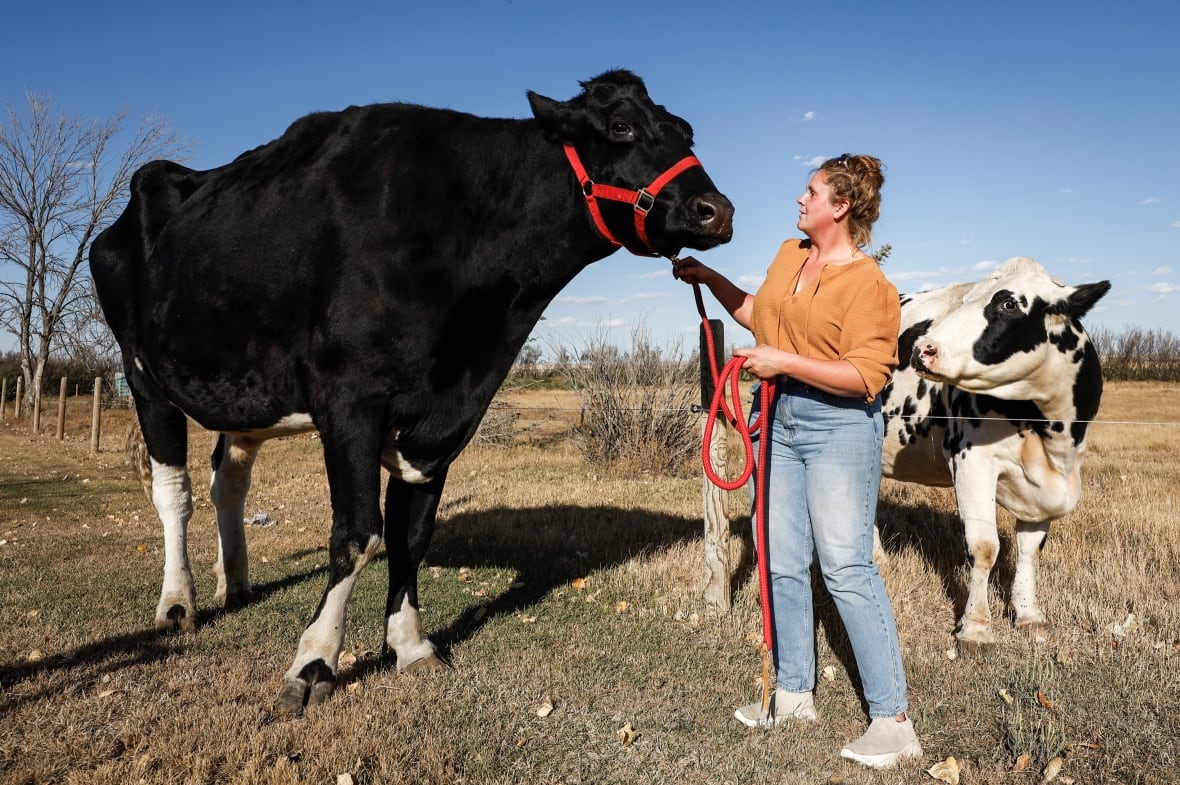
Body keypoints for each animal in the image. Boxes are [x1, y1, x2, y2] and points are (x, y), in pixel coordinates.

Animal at [89, 70, 733, 715]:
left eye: (685, 131)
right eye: (621, 127)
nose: (717, 211)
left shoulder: (442, 422)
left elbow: (412, 535)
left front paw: (410, 645)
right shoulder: (349, 400)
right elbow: (357, 533)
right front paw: (314, 662)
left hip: (244, 393)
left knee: (229, 482)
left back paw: (236, 582)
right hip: (144, 376)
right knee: (175, 493)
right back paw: (179, 604)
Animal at [880, 257, 1110, 652]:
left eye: (1008, 304)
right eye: (964, 298)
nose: (922, 348)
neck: (1050, 433)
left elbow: (1030, 549)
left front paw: (1028, 614)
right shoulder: (972, 460)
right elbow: (985, 546)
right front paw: (975, 629)